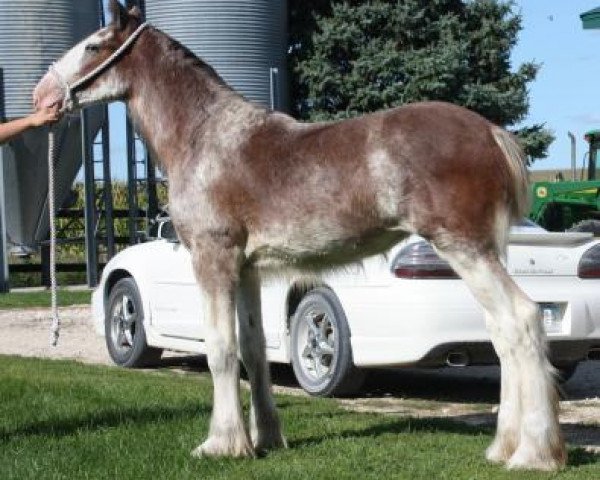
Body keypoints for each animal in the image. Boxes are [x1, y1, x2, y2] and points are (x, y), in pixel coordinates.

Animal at [31, 1, 568, 470]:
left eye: (93, 46)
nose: (41, 97)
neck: (205, 138)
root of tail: (491, 134)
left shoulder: (213, 259)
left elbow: (220, 350)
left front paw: (221, 444)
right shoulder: (247, 269)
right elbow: (252, 350)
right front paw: (265, 438)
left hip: (464, 249)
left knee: (521, 321)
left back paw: (533, 454)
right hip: (481, 253)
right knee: (500, 333)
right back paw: (502, 447)